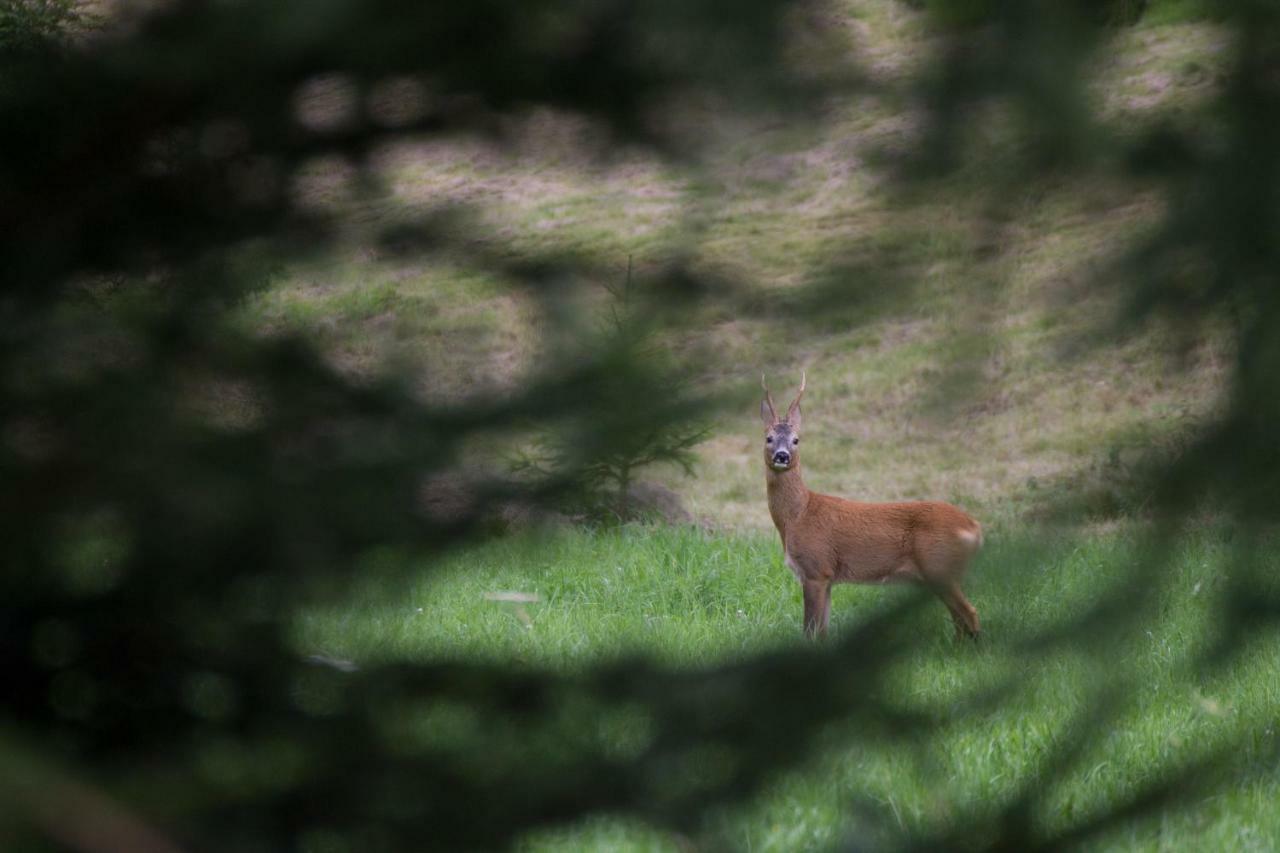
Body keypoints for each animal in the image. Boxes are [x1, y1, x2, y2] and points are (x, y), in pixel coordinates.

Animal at [752, 371, 983, 637]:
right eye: (768, 438)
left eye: (796, 440)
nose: (782, 456)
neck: (798, 515)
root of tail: (973, 526)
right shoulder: (828, 577)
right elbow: (822, 631)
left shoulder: (816, 568)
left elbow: (809, 630)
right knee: (959, 619)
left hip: (938, 566)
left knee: (969, 613)